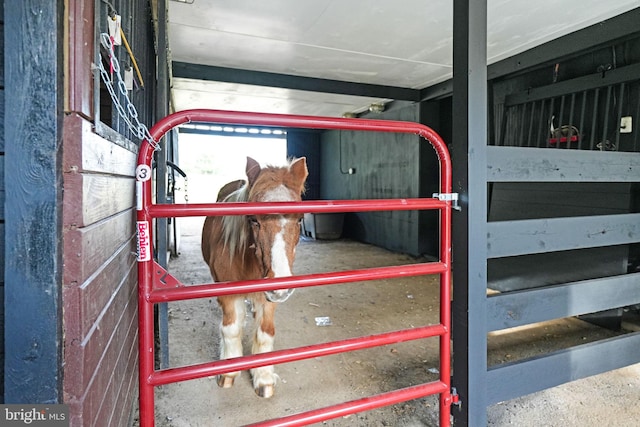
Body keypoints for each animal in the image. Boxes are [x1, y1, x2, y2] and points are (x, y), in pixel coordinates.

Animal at [201, 156, 308, 398]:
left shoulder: (268, 296)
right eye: (253, 220)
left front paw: (264, 378)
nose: (281, 283)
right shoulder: (228, 294)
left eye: (299, 219)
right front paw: (228, 371)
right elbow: (231, 329)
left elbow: (265, 332)